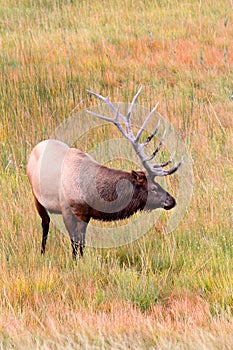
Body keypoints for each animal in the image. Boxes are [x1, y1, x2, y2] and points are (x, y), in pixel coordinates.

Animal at [27, 87, 182, 258]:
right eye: (153, 188)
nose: (172, 200)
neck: (89, 193)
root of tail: (36, 147)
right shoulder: (67, 209)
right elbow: (74, 242)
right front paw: (74, 261)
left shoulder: (85, 214)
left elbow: (81, 243)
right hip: (36, 196)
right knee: (45, 223)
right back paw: (42, 252)